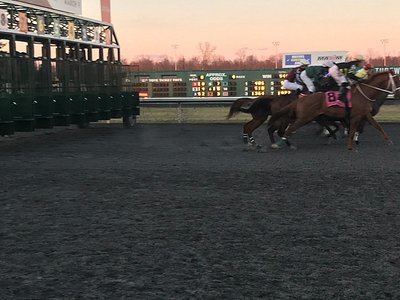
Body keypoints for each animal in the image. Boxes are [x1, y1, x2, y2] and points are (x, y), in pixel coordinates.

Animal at [268, 70, 400, 150]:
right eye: (398, 80)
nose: (398, 94)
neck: (364, 93)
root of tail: (300, 99)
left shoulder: (365, 114)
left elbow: (378, 126)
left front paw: (389, 141)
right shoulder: (355, 116)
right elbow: (352, 130)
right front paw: (350, 145)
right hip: (304, 118)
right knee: (287, 130)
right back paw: (279, 144)